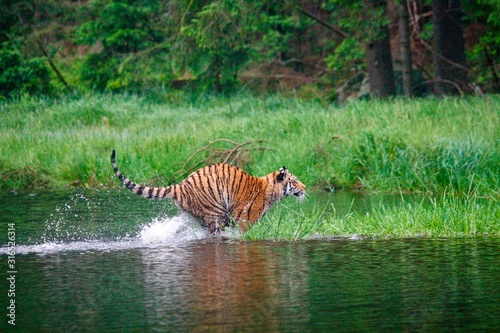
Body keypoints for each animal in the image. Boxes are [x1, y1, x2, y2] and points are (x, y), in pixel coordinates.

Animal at [111, 149, 304, 232]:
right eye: (294, 180)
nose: (305, 188)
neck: (271, 191)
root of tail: (181, 185)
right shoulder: (245, 219)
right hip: (215, 212)